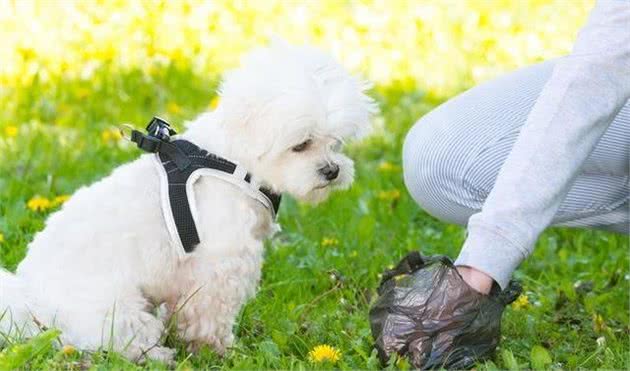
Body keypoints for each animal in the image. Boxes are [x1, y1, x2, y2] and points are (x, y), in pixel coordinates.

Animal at [0, 42, 376, 364]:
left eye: (335, 142)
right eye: (301, 145)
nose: (332, 170)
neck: (234, 161)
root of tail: (29, 300)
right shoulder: (220, 264)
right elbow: (210, 315)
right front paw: (216, 350)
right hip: (117, 312)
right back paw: (157, 355)